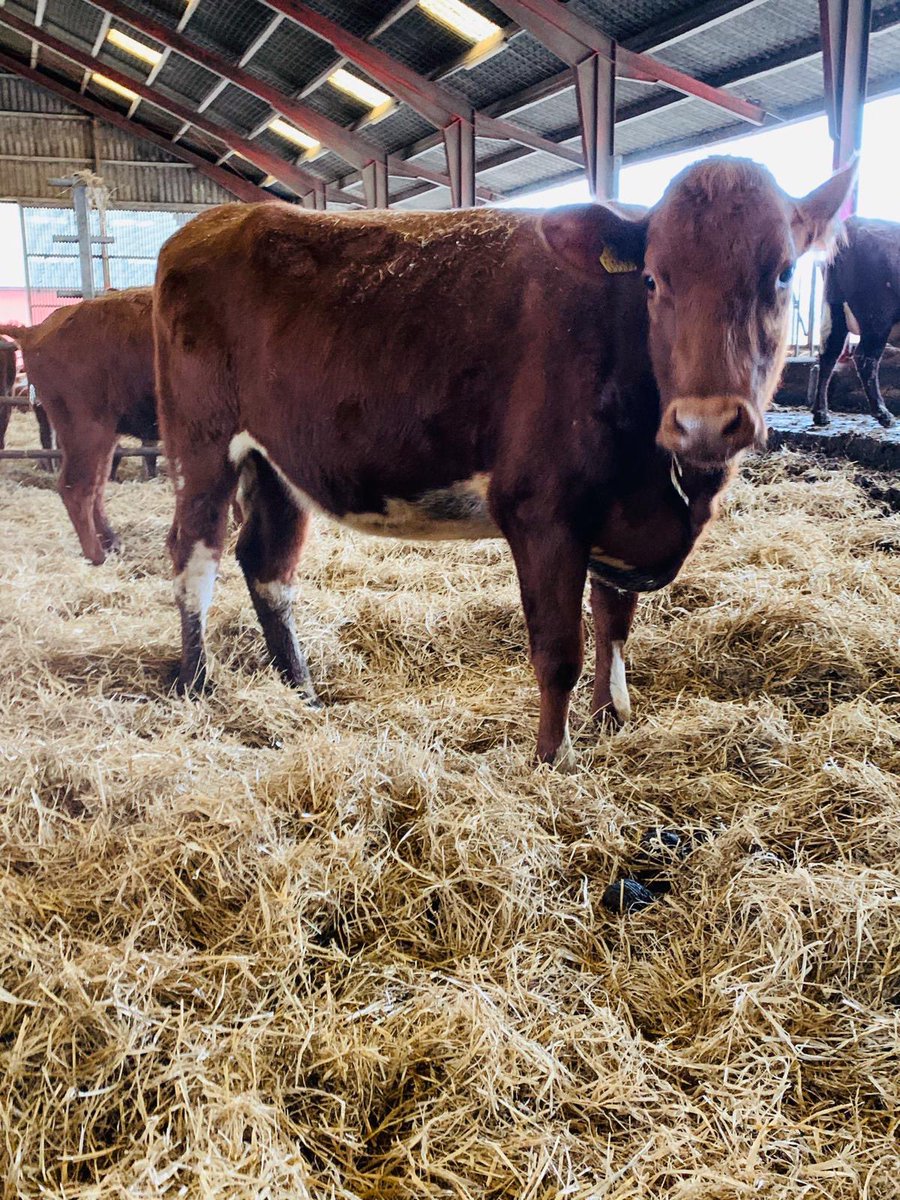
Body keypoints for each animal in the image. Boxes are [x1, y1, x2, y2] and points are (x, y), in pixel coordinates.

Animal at [0, 288, 158, 565]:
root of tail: (34, 331)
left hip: (103, 434)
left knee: (96, 485)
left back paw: (111, 543)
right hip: (87, 430)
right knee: (75, 487)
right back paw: (97, 555)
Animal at [154, 156, 854, 768]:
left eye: (783, 273)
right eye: (653, 279)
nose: (704, 421)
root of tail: (209, 223)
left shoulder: (618, 517)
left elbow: (614, 621)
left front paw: (611, 718)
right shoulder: (541, 508)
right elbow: (559, 650)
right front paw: (553, 759)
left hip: (279, 465)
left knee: (268, 566)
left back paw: (300, 691)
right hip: (201, 444)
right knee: (195, 558)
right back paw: (197, 685)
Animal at [812, 216, 900, 428]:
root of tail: (854, 222)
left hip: (834, 311)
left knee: (828, 355)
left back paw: (821, 415)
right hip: (877, 317)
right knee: (865, 359)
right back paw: (884, 414)